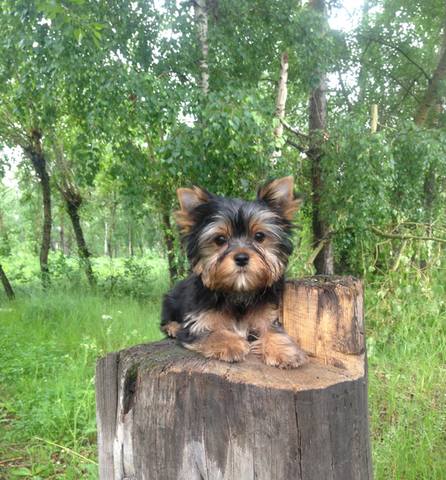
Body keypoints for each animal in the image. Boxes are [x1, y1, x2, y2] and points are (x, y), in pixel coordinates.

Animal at [161, 176, 310, 368]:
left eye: (259, 236)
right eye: (220, 239)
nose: (241, 257)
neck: (238, 292)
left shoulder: (267, 315)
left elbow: (272, 329)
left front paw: (285, 351)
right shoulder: (196, 323)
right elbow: (210, 331)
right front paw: (230, 344)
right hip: (170, 299)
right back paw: (173, 327)